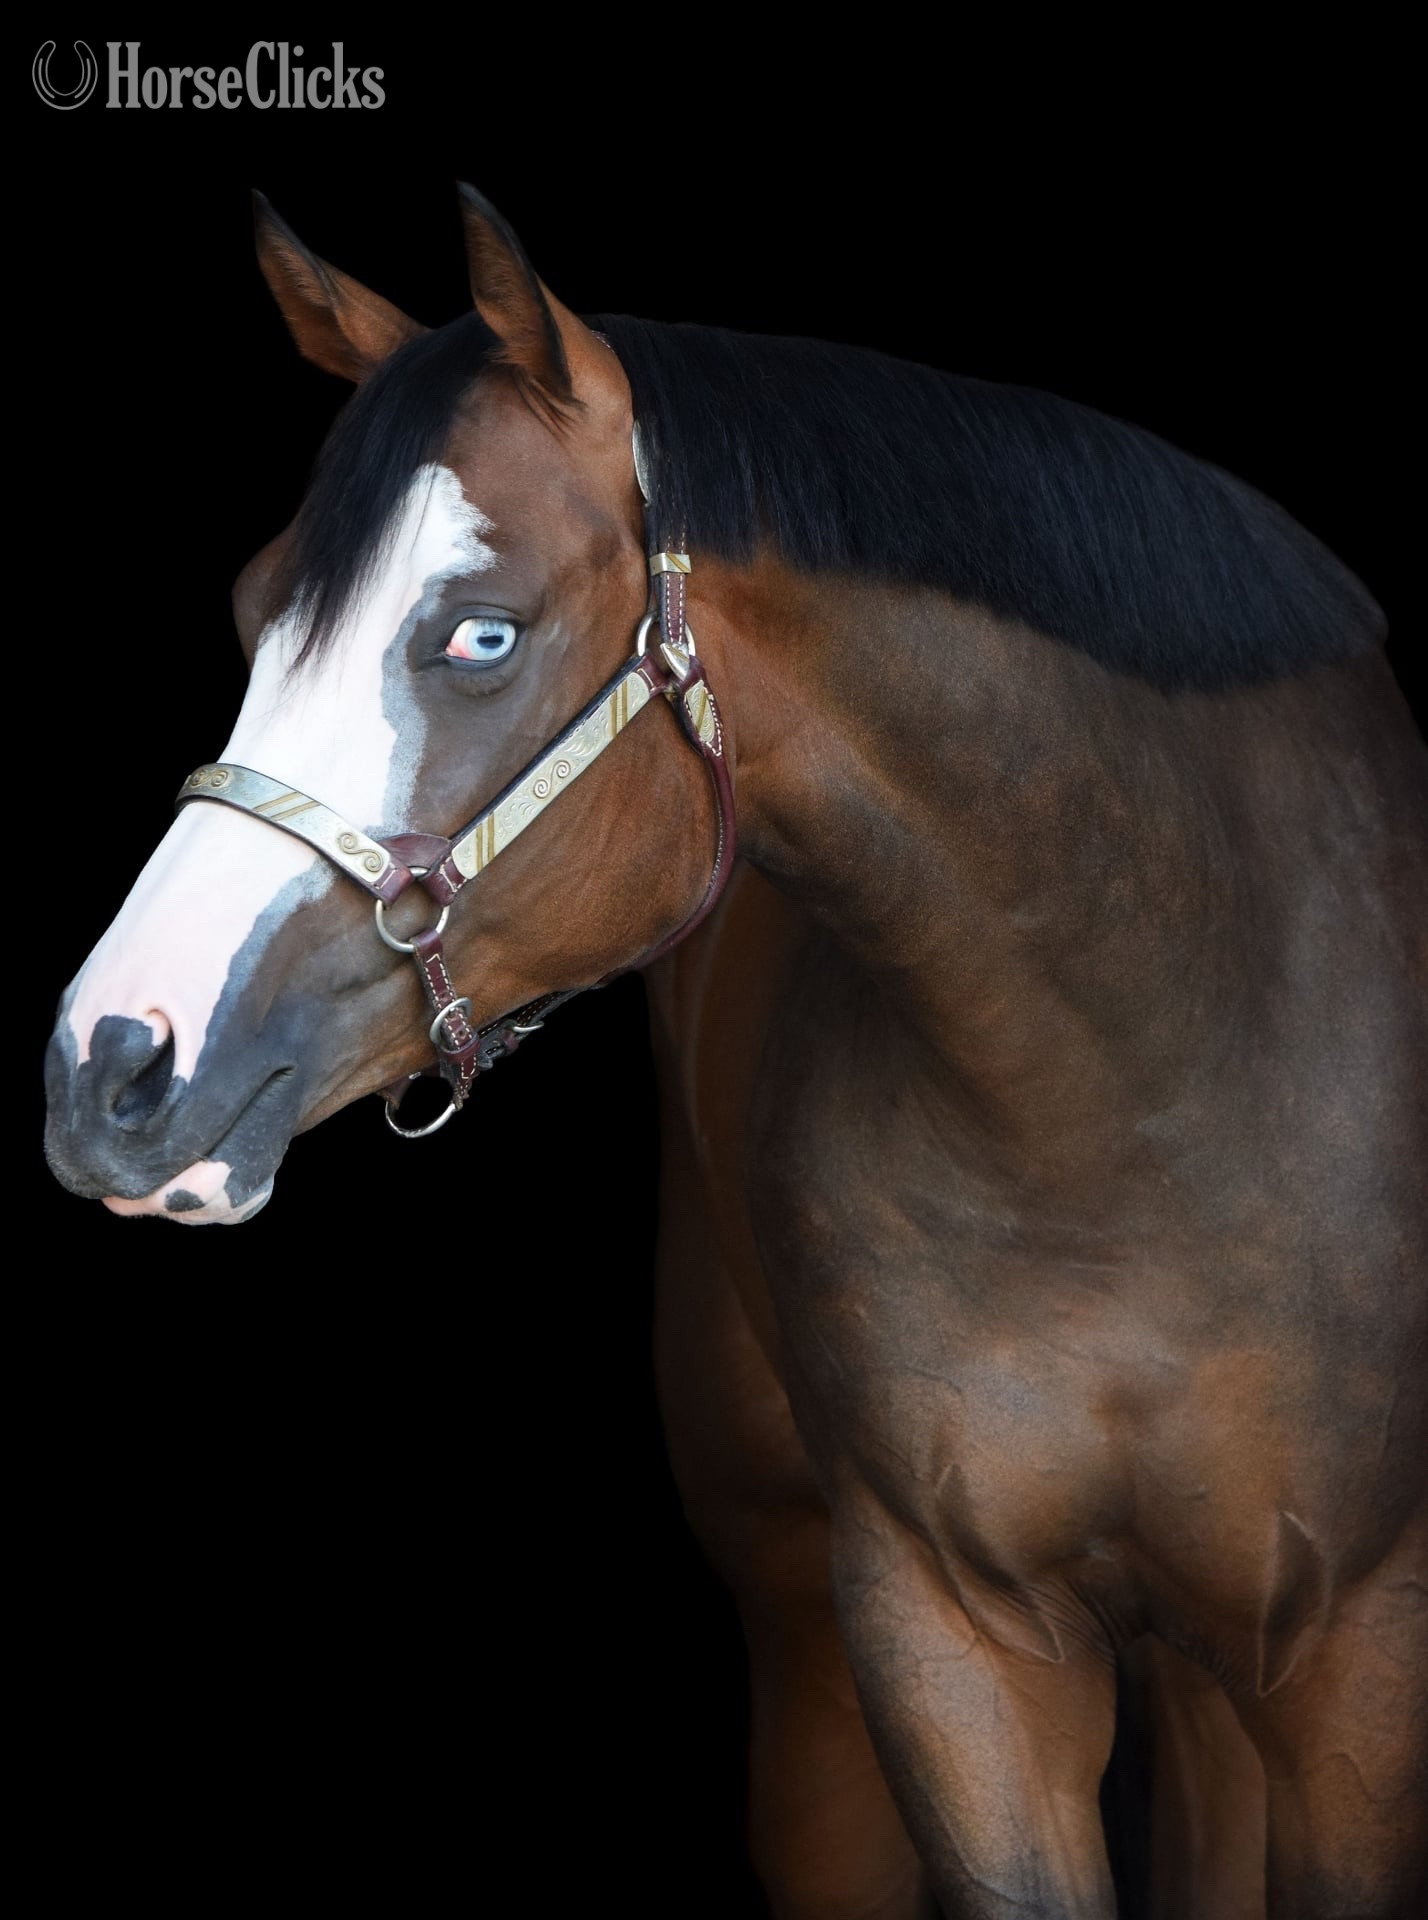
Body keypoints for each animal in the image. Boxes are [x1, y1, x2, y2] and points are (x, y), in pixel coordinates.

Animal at [43, 186, 1426, 1918]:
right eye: (251, 608)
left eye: (481, 634)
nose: (110, 1067)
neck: (1153, 1085)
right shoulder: (948, 1638)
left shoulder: (1360, 1657)